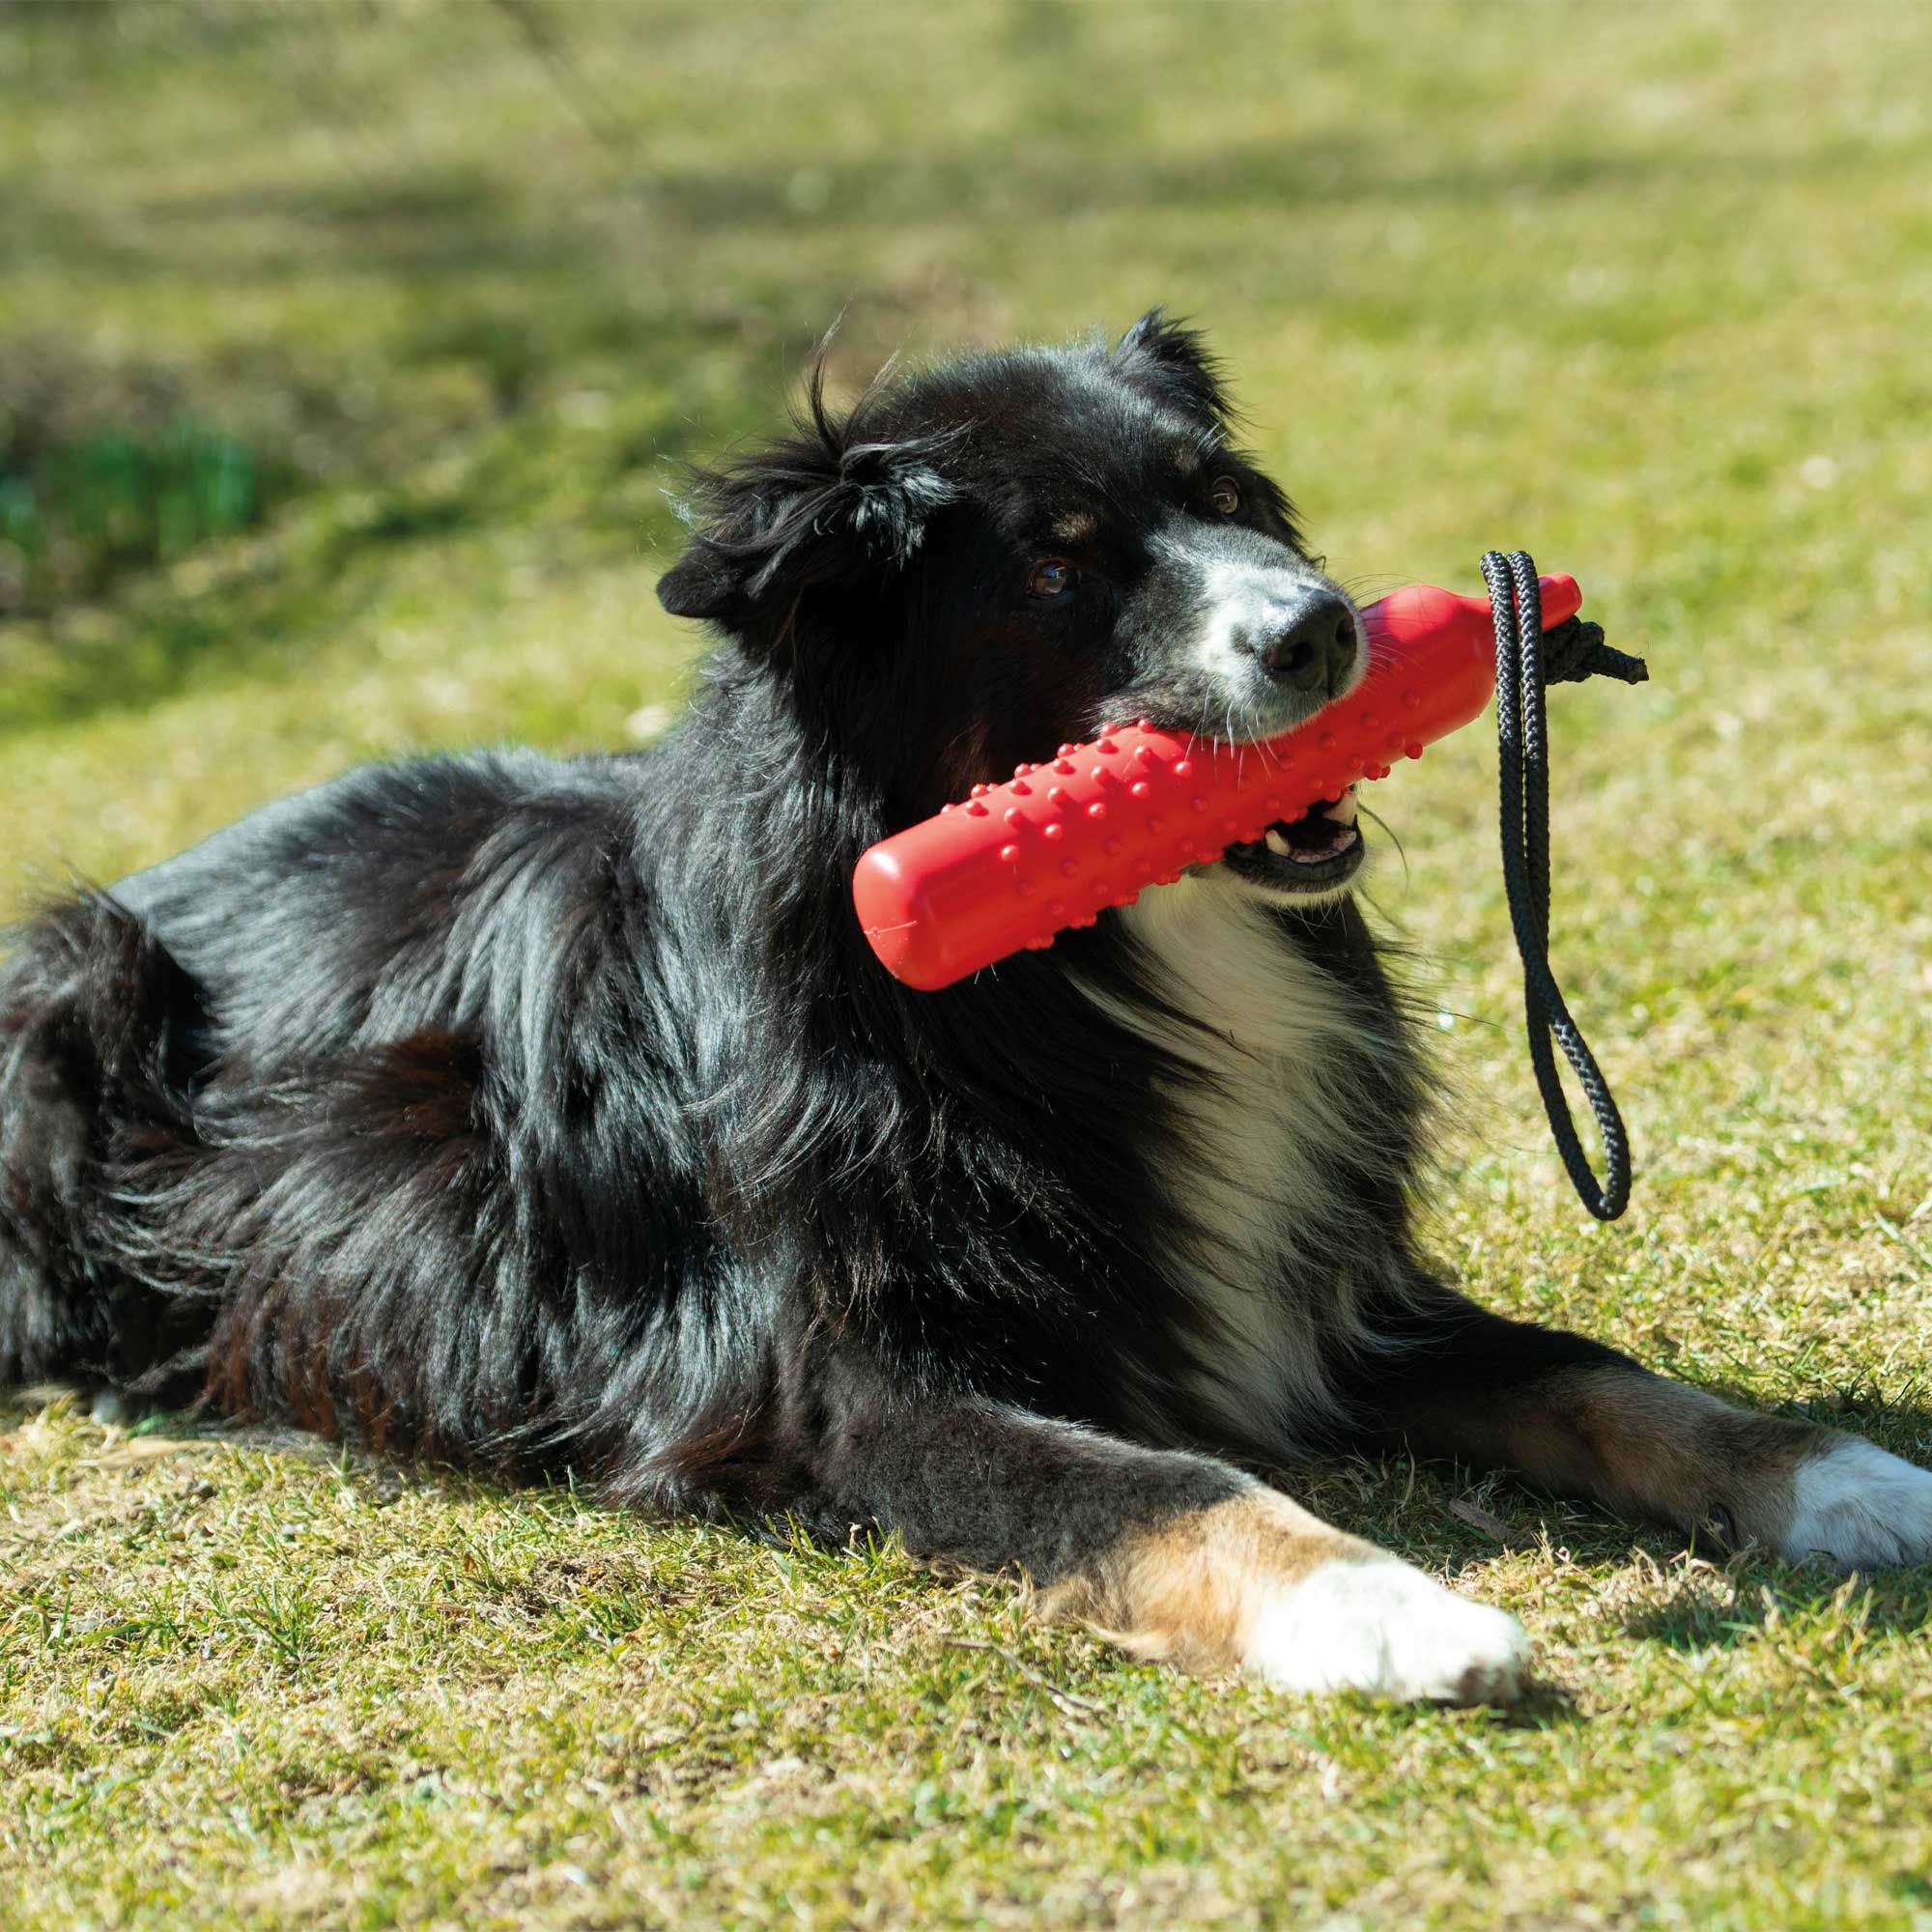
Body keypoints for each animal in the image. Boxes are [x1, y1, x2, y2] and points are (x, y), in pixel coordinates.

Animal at [3, 321, 1932, 1708]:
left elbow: (1608, 1379)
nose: (1325, 631)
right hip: (71, 990)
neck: (1068, 978)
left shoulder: (1326, 1293)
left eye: (1237, 498)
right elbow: (1163, 1488)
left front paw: (1847, 1478)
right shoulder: (862, 1386)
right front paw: (1388, 1612)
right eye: (1061, 573)